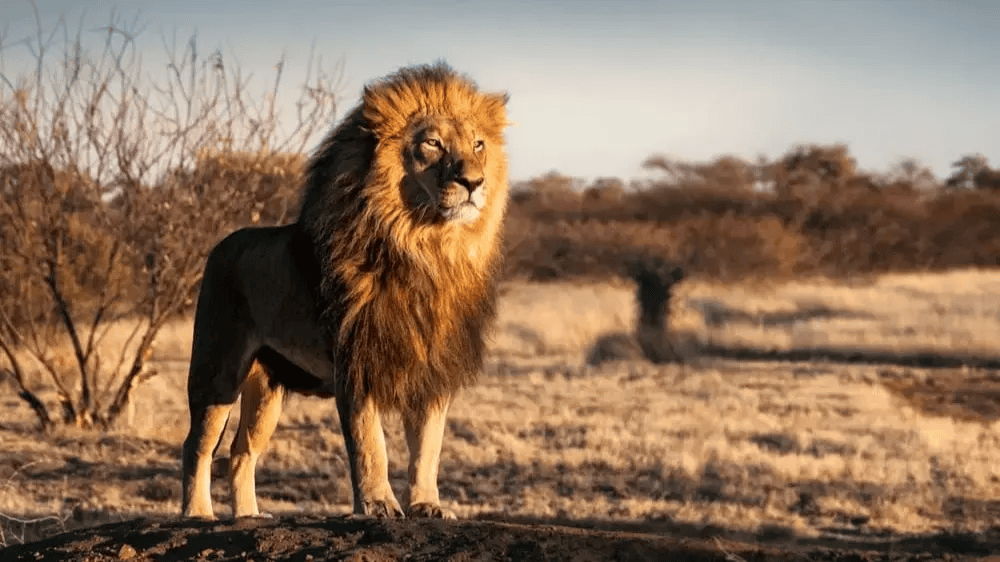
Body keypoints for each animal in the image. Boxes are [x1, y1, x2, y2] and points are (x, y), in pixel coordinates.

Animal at [180, 62, 509, 520]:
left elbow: (428, 447)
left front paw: (427, 504)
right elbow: (371, 444)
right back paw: (197, 514)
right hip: (217, 370)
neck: (426, 249)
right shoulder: (356, 361)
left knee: (241, 452)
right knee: (197, 445)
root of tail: (221, 244)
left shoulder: (432, 367)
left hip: (266, 388)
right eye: (432, 143)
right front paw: (377, 504)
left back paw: (248, 516)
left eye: (479, 144)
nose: (474, 182)